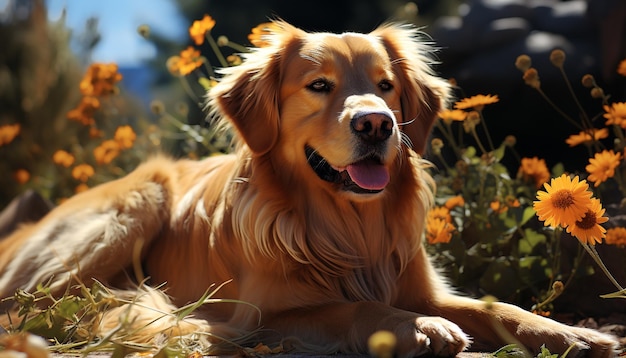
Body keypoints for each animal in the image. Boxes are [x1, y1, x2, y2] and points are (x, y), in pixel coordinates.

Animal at [0, 21, 616, 356]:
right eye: (319, 86)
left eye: (385, 86)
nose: (376, 124)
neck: (349, 226)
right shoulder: (262, 316)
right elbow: (355, 308)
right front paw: (415, 328)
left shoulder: (421, 285)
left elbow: (499, 305)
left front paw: (570, 334)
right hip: (131, 207)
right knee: (36, 311)